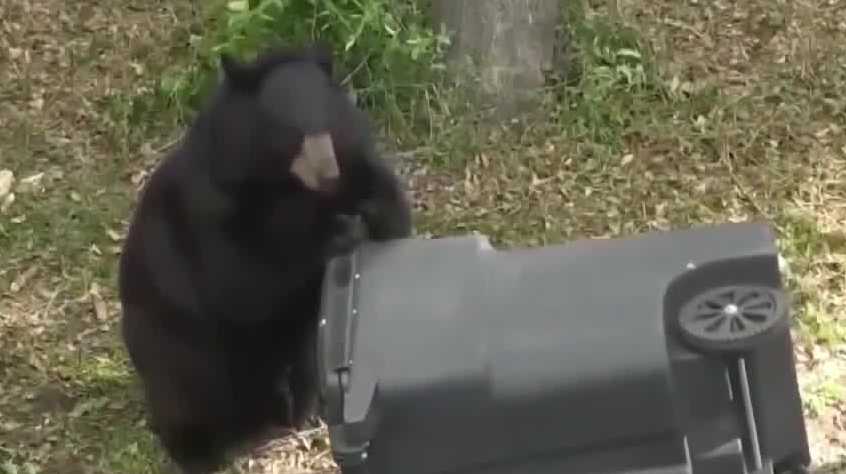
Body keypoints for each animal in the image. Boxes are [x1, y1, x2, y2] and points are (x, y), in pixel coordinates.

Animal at [117, 44, 412, 474]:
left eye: (328, 122)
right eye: (291, 134)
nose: (328, 176)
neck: (285, 187)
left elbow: (392, 217)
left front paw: (366, 209)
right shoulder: (210, 208)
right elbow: (240, 281)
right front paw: (332, 233)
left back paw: (302, 411)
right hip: (172, 345)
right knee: (186, 394)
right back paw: (200, 451)